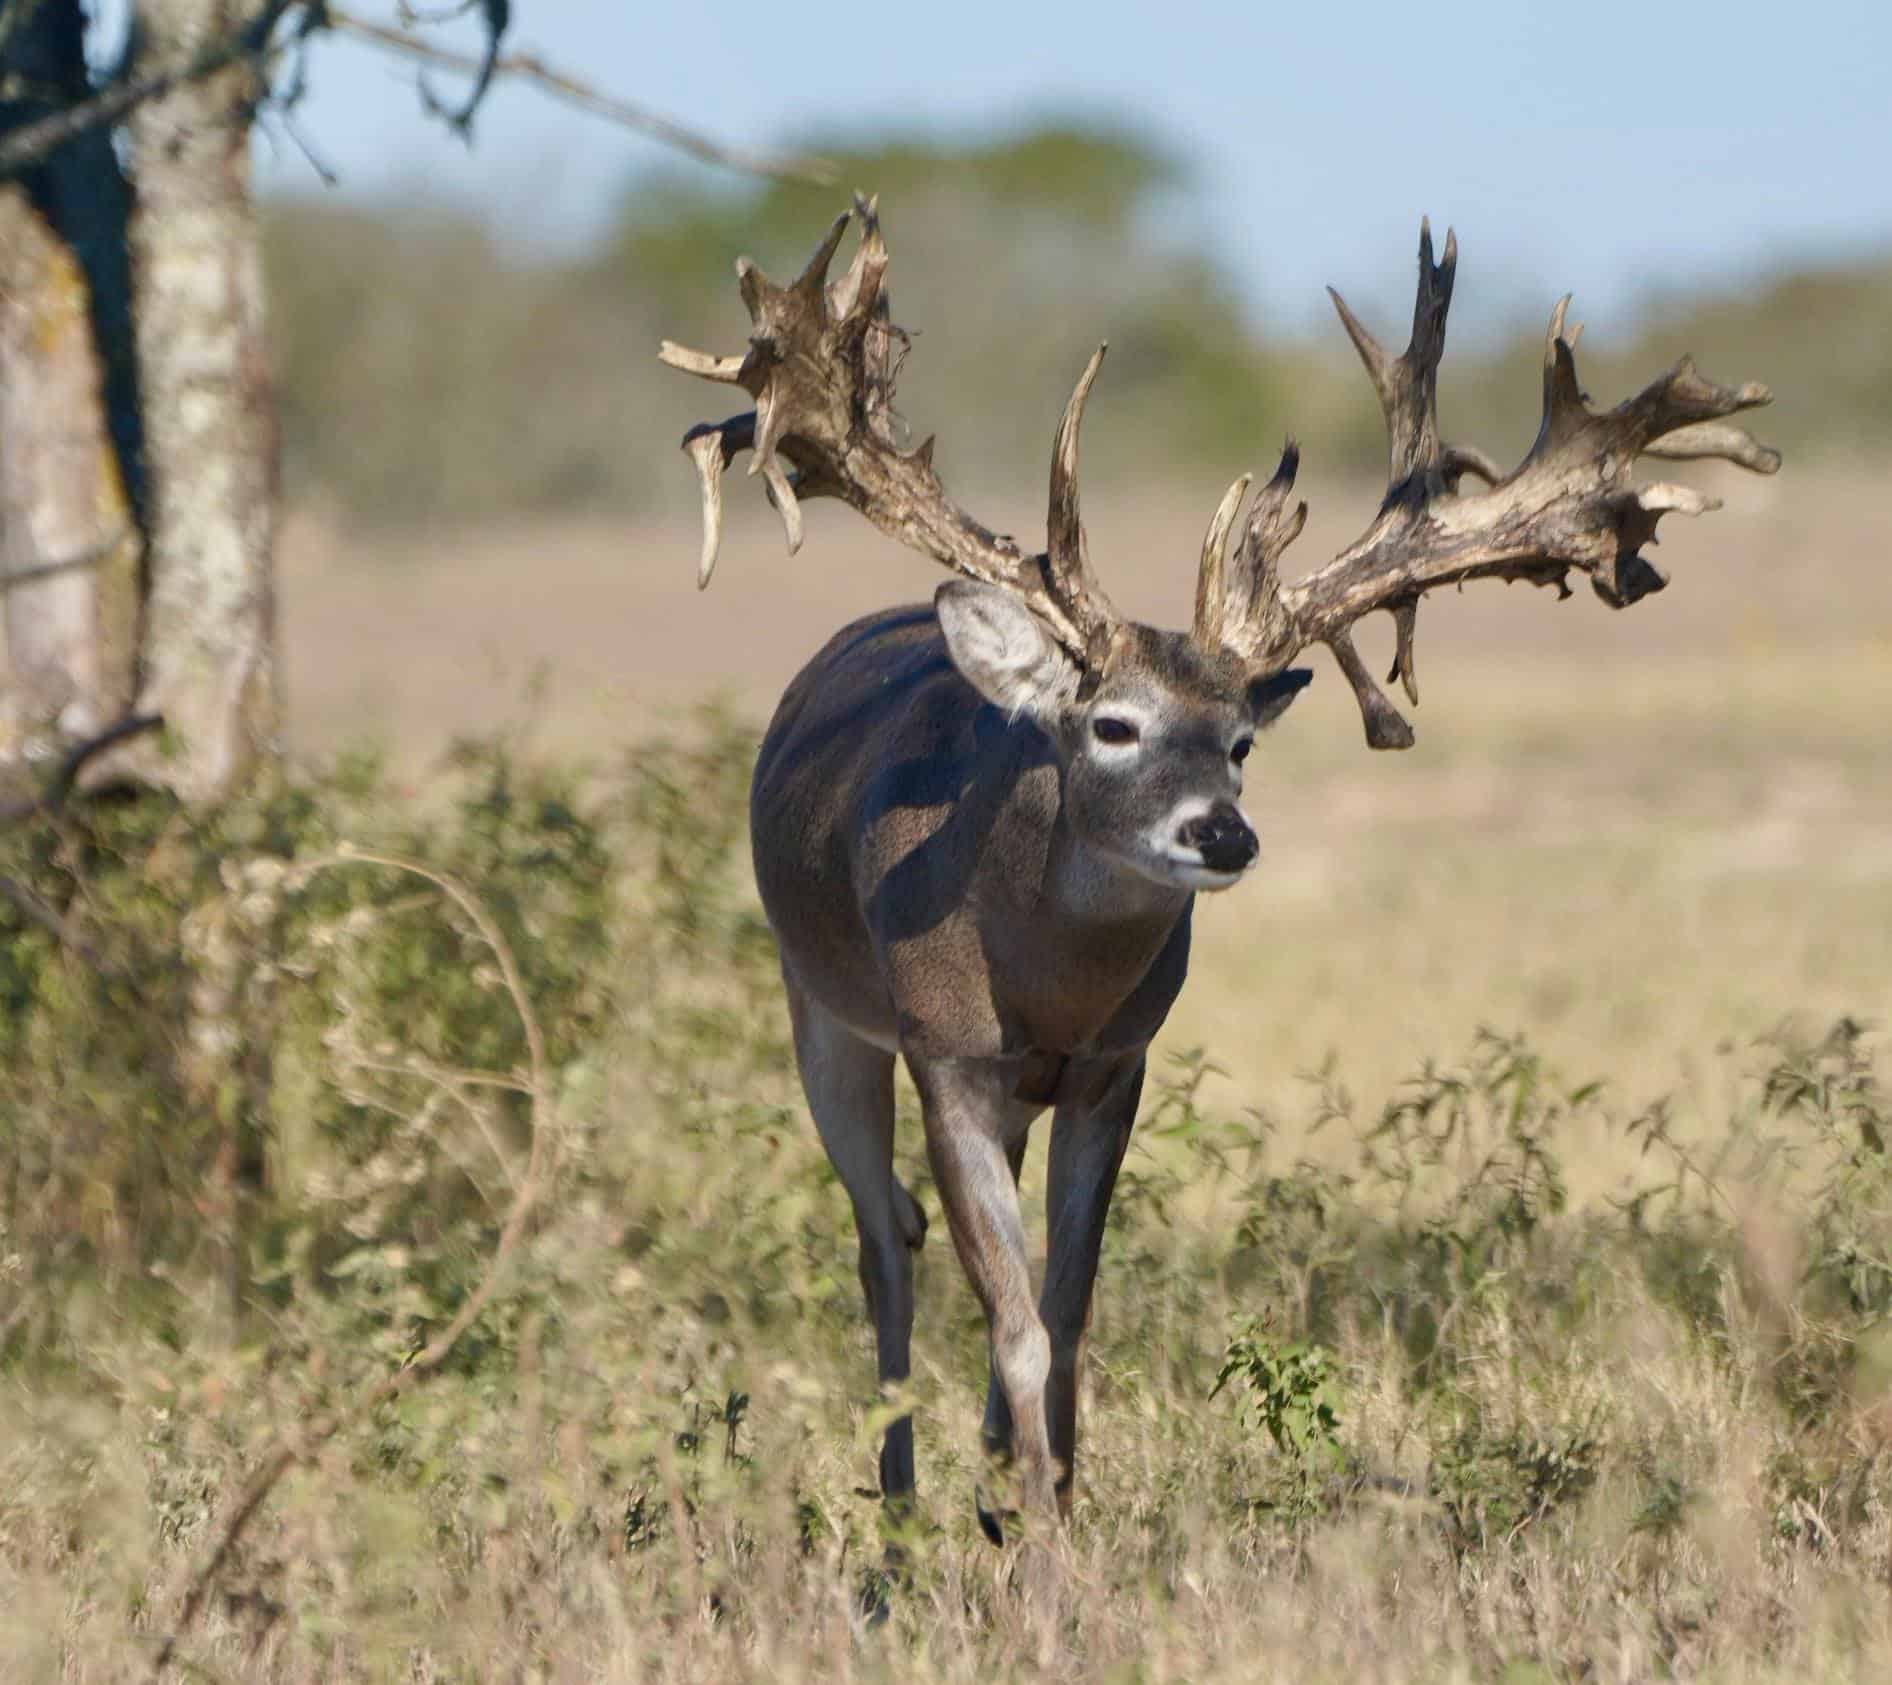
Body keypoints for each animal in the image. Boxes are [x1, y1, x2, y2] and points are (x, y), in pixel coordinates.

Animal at [658, 199, 1778, 1553]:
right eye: (1112, 724)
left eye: (1240, 740)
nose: (1222, 835)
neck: (1037, 974)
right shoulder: (945, 1052)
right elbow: (1016, 1323)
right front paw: (1042, 1557)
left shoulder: (1112, 1062)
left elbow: (1065, 1310)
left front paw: (1046, 1500)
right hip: (816, 1005)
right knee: (885, 1239)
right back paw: (899, 1505)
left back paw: (974, 1479)